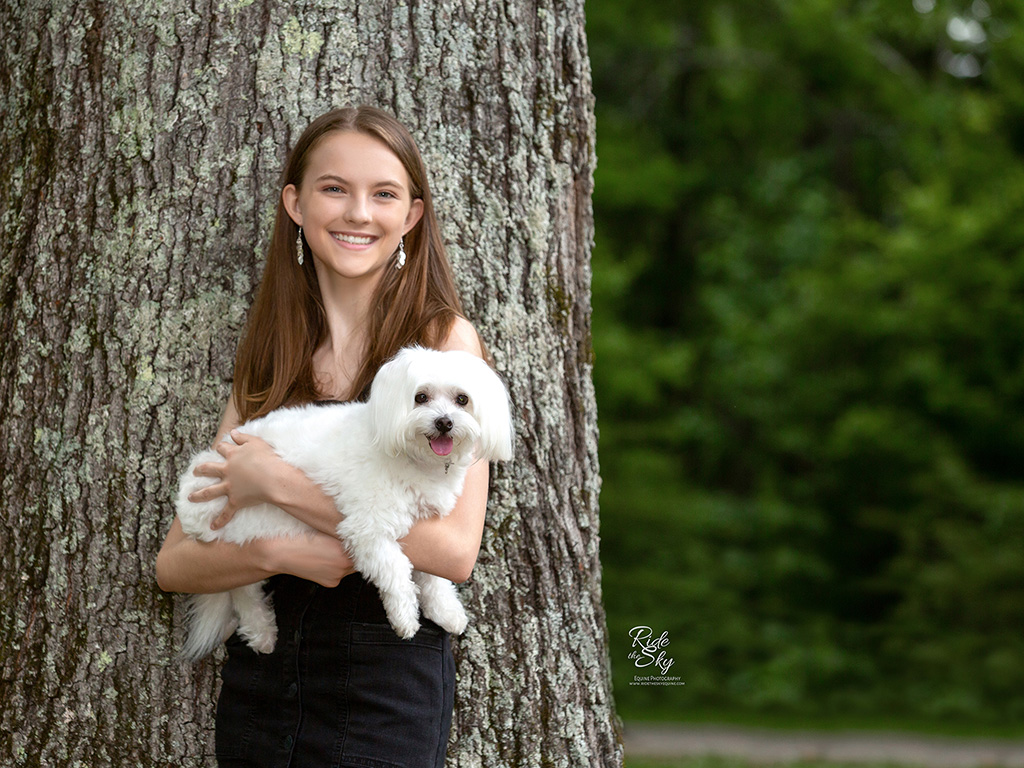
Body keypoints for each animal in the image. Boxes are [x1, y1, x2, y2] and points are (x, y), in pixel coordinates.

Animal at [177, 348, 516, 663]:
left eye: (462, 399)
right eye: (421, 397)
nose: (444, 422)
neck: (411, 457)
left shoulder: (429, 528)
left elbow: (434, 576)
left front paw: (446, 610)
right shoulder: (368, 529)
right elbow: (396, 571)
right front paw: (404, 618)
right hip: (252, 524)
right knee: (243, 589)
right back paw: (261, 632)